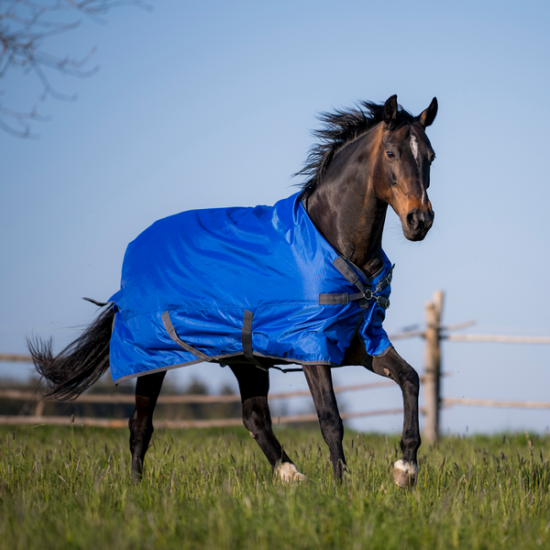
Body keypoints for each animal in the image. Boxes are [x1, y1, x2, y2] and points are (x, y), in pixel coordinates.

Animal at [29, 94, 440, 488]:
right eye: (391, 153)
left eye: (430, 157)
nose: (420, 220)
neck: (335, 242)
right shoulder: (312, 348)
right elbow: (330, 419)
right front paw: (342, 488)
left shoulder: (360, 342)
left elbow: (411, 379)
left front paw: (405, 469)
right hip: (153, 356)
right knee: (140, 424)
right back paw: (135, 488)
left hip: (245, 359)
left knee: (255, 419)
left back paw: (292, 477)